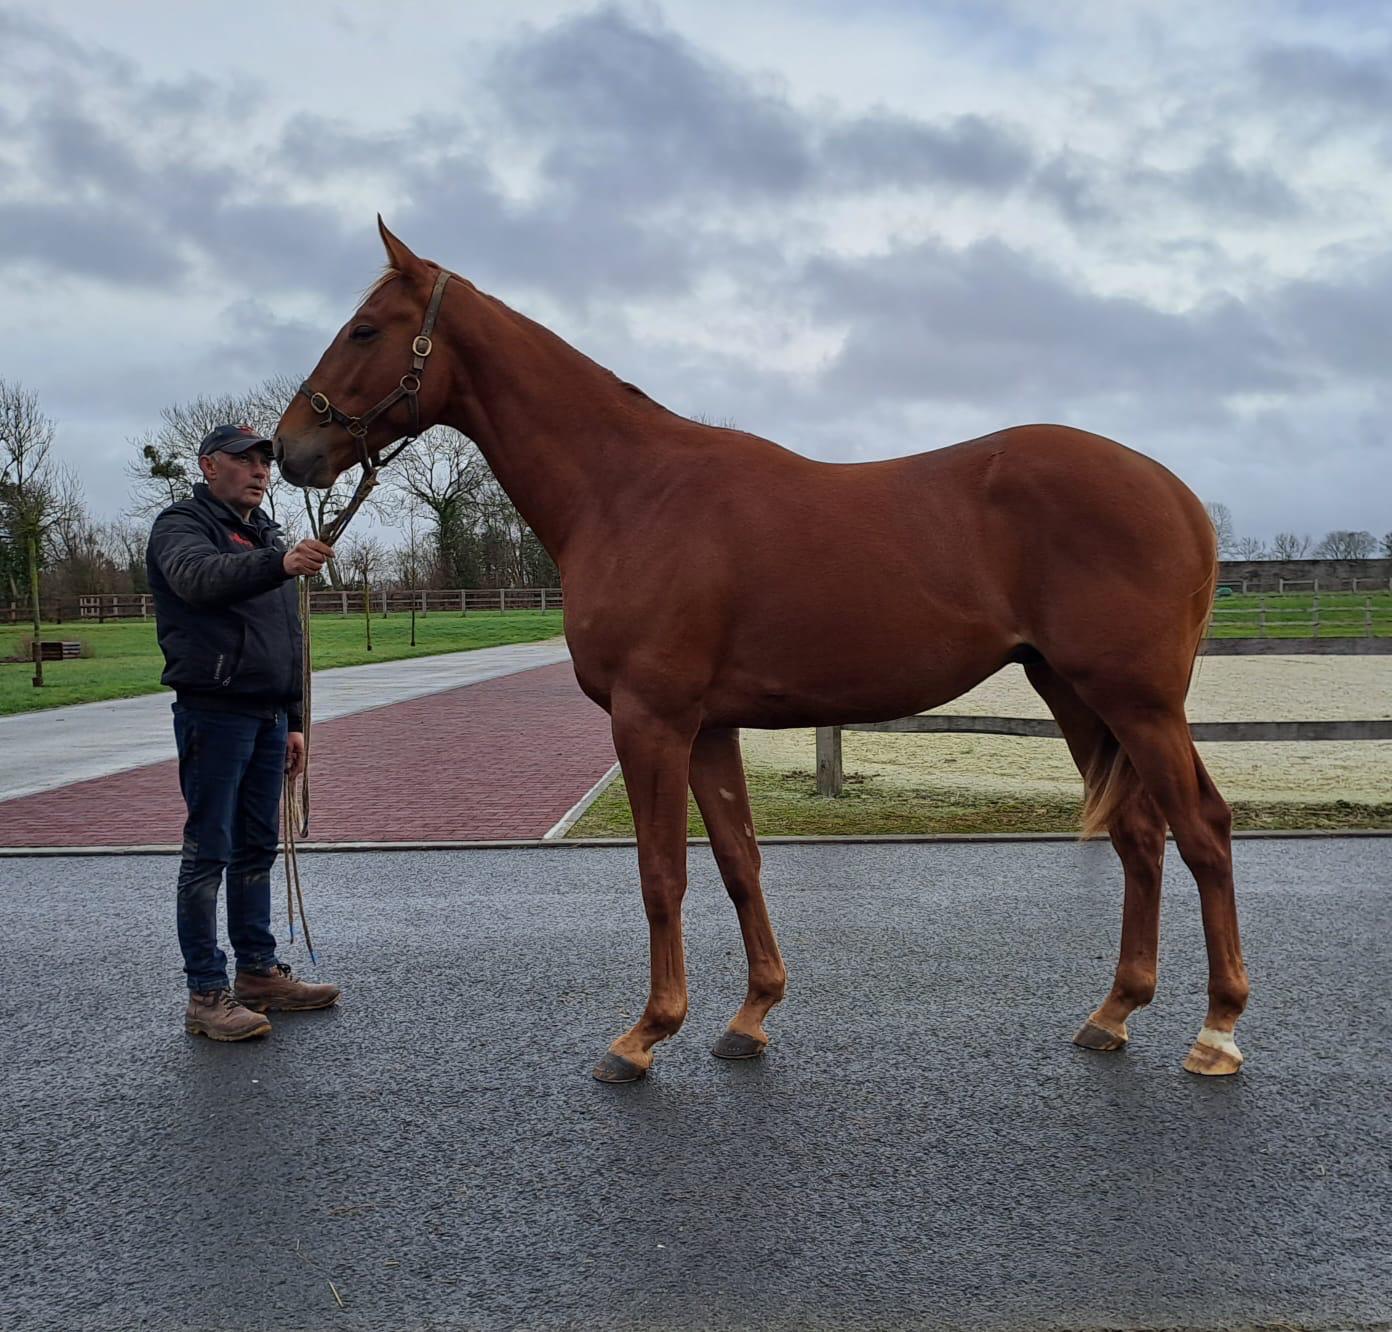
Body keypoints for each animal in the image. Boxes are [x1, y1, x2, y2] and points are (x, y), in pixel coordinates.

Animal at [271, 221, 1252, 1080]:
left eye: (364, 329)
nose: (288, 449)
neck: (630, 493)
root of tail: (1176, 494)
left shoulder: (650, 720)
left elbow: (661, 874)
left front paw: (644, 1036)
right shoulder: (708, 726)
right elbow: (739, 862)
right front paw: (749, 1017)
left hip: (1137, 701)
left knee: (1203, 829)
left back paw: (1217, 1032)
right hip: (1076, 695)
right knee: (1138, 836)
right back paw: (1114, 1014)